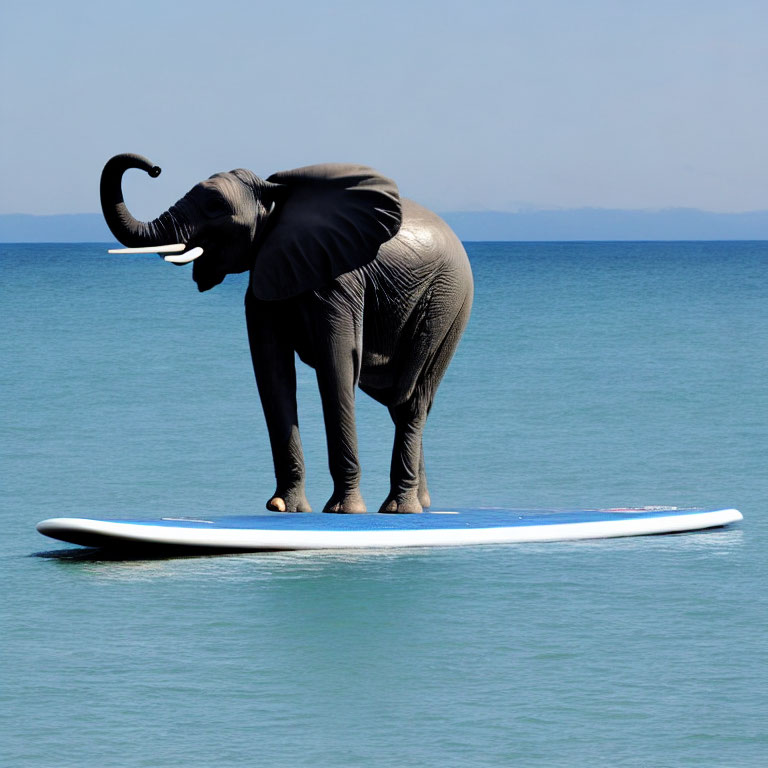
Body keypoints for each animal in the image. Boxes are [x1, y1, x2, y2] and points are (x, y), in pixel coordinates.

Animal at [100, 152, 474, 512]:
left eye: (216, 206)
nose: (154, 168)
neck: (275, 197)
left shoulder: (340, 281)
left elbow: (337, 367)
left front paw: (343, 509)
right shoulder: (264, 280)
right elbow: (273, 373)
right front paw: (284, 507)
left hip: (447, 304)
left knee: (414, 399)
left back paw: (400, 509)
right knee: (401, 404)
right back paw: (418, 505)